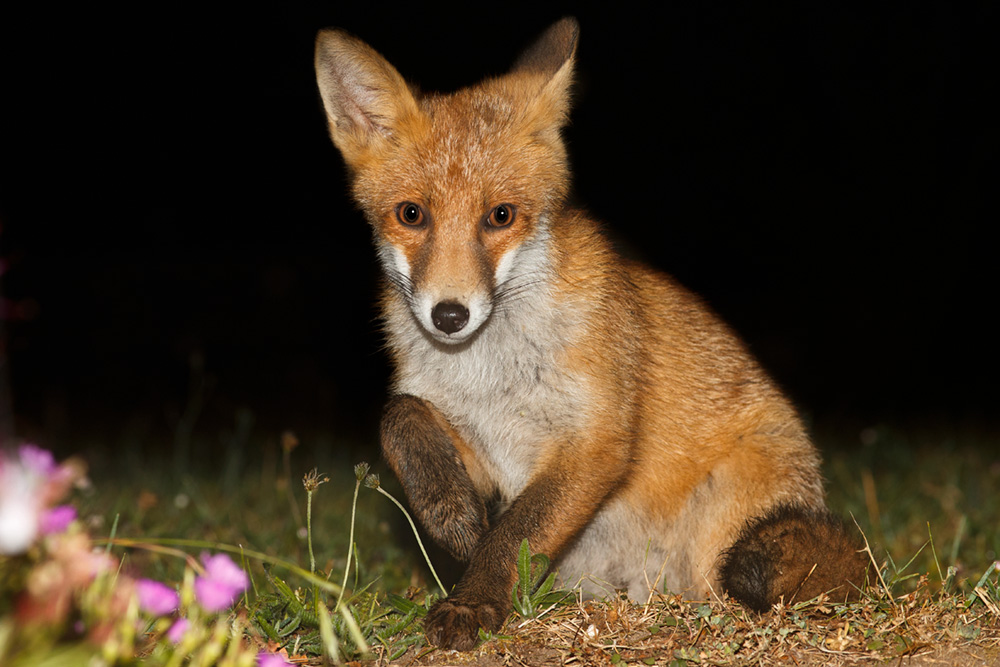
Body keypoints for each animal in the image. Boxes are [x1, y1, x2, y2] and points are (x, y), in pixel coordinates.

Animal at [314, 17, 868, 651]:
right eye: (411, 214)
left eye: (500, 216)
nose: (449, 315)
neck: (487, 374)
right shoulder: (484, 450)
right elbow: (400, 415)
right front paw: (451, 518)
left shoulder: (595, 440)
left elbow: (514, 535)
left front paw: (472, 601)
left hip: (727, 529)